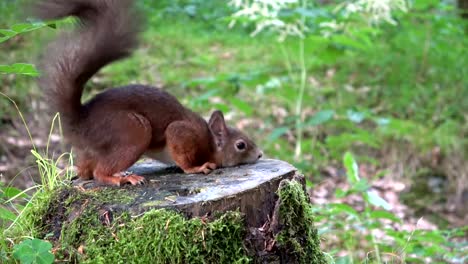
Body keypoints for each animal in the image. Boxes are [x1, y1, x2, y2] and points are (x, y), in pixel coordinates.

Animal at [34, 0, 262, 186]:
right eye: (241, 145)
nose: (260, 155)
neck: (210, 143)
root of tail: (80, 121)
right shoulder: (183, 133)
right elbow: (181, 153)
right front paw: (197, 168)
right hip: (132, 131)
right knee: (99, 173)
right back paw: (123, 178)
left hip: (95, 149)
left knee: (86, 172)